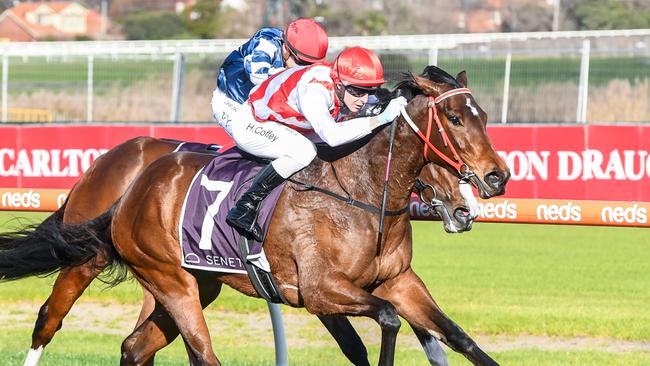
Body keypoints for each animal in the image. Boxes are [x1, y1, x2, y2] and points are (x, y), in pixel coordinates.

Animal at [1, 66, 506, 366]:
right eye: (456, 119)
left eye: (483, 115)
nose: (496, 177)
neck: (359, 193)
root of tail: (131, 189)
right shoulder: (320, 290)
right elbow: (386, 322)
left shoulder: (399, 281)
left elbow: (457, 336)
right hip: (154, 277)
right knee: (56, 319)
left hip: (192, 284)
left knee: (135, 346)